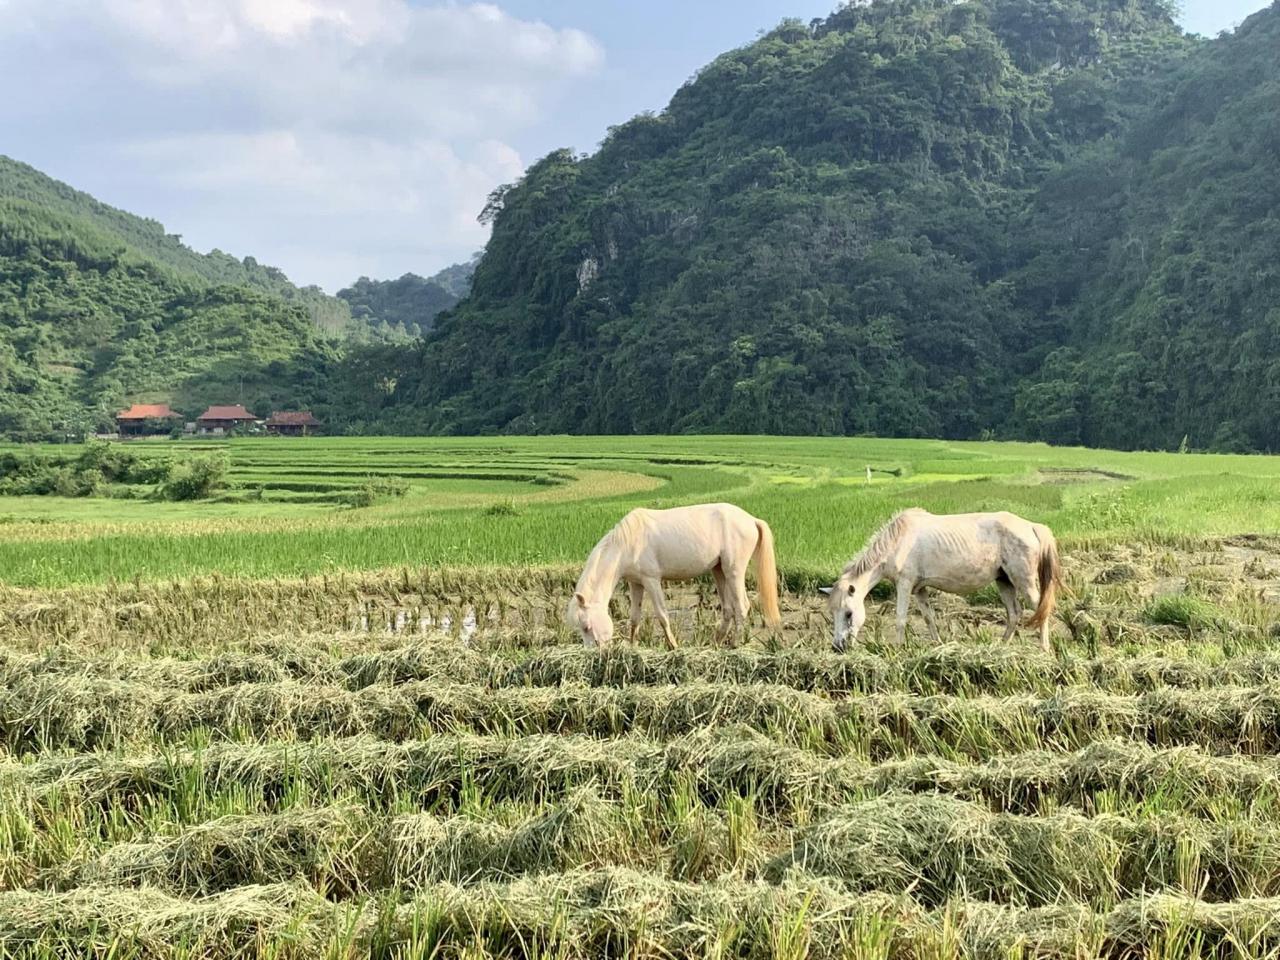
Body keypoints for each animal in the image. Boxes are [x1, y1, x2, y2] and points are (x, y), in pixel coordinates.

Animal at [568, 504, 778, 655]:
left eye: (586, 627)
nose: (593, 653)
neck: (627, 543)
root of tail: (751, 520)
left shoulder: (651, 580)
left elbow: (662, 615)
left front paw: (673, 646)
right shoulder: (635, 583)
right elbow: (634, 618)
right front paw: (633, 645)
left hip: (734, 571)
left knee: (742, 606)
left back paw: (734, 644)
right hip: (719, 571)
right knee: (727, 609)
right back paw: (716, 643)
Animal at [819, 512, 1059, 655]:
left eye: (849, 613)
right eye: (832, 612)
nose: (838, 647)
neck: (898, 541)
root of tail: (1031, 526)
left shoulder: (904, 584)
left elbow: (900, 619)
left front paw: (897, 649)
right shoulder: (920, 588)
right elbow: (928, 618)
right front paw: (937, 645)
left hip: (1023, 580)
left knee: (1041, 610)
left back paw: (1044, 649)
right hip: (1004, 581)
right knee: (1014, 613)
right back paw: (1001, 647)